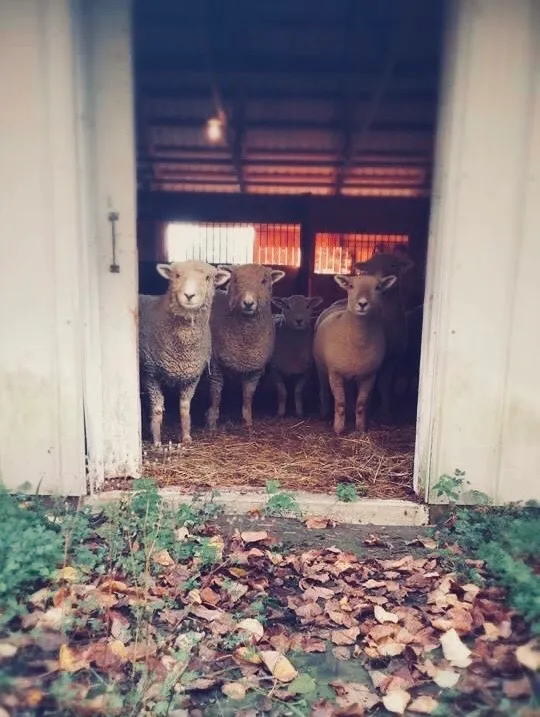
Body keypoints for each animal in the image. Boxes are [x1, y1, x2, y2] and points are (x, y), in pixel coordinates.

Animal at [139, 260, 231, 446]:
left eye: (208, 277)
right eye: (177, 275)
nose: (189, 295)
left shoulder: (192, 377)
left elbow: (185, 408)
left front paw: (186, 437)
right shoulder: (149, 374)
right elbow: (157, 409)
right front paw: (157, 441)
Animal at [207, 263, 285, 431]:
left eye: (264, 281)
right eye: (235, 280)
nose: (248, 303)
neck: (245, 343)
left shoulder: (255, 368)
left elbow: (248, 395)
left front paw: (248, 422)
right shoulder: (215, 364)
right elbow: (215, 393)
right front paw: (212, 424)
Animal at [313, 273, 397, 435]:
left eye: (377, 287)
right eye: (351, 286)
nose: (362, 304)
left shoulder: (369, 374)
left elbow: (361, 404)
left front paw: (361, 429)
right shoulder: (335, 373)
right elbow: (340, 403)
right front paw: (339, 430)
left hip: (352, 374)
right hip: (321, 367)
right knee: (324, 390)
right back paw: (324, 413)